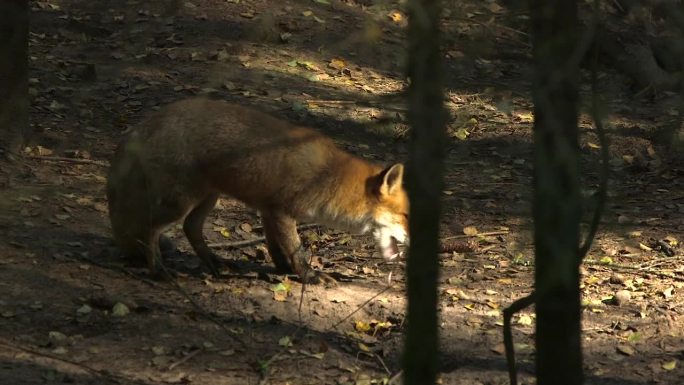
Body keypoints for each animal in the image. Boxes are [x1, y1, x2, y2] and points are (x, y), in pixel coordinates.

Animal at [104, 97, 408, 284]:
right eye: (406, 216)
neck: (327, 176)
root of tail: (145, 123)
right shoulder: (282, 211)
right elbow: (296, 250)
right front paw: (309, 277)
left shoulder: (268, 209)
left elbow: (277, 248)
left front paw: (282, 270)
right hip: (179, 202)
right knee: (151, 230)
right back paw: (158, 270)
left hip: (208, 198)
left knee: (191, 228)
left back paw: (215, 263)